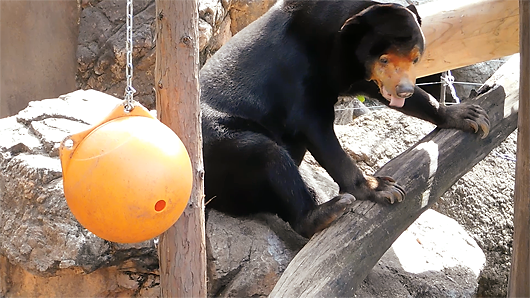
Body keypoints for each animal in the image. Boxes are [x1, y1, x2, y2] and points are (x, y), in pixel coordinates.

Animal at [198, 0, 486, 237]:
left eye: (415, 58)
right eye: (384, 59)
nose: (402, 90)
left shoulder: (353, 72)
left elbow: (378, 89)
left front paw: (466, 114)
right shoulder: (298, 71)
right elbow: (315, 128)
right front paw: (379, 187)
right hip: (218, 144)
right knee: (266, 154)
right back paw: (325, 211)